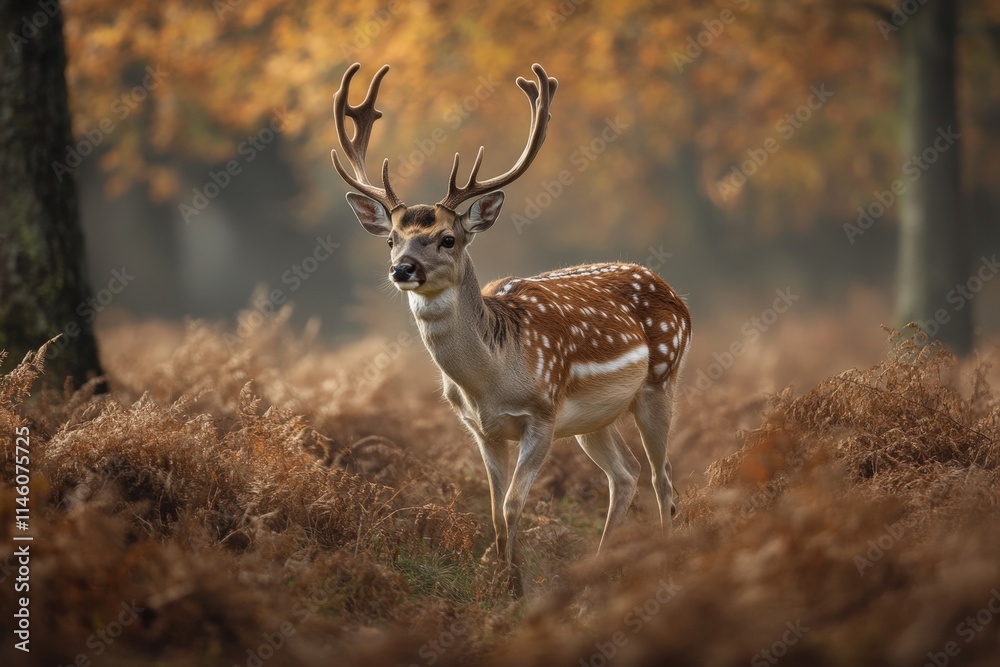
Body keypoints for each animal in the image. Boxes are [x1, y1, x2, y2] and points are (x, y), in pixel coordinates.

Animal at [331, 62, 691, 594]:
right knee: (625, 476)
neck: (491, 380)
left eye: (448, 238)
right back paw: (596, 572)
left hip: (661, 380)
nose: (403, 269)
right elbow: (496, 512)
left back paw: (664, 569)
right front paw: (501, 586)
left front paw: (517, 591)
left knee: (662, 478)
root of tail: (673, 292)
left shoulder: (541, 414)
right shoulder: (481, 430)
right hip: (593, 419)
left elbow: (514, 503)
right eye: (392, 239)